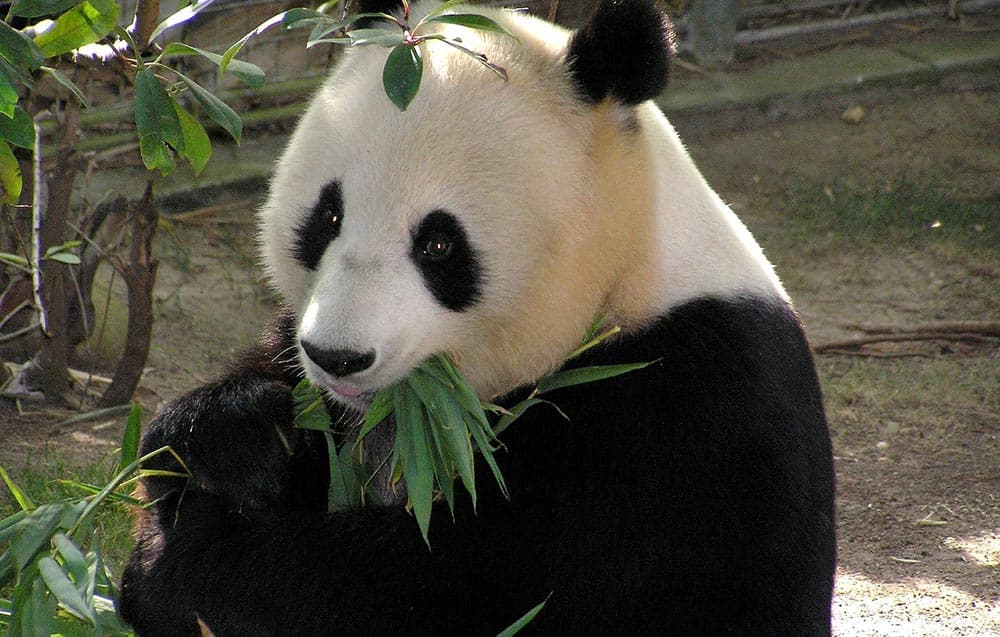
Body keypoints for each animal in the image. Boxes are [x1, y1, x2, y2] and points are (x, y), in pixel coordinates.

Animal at [119, 0, 836, 635]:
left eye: (438, 245)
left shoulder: (679, 408)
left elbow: (469, 587)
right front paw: (238, 437)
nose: (339, 357)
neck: (623, 277)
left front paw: (188, 565)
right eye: (327, 216)